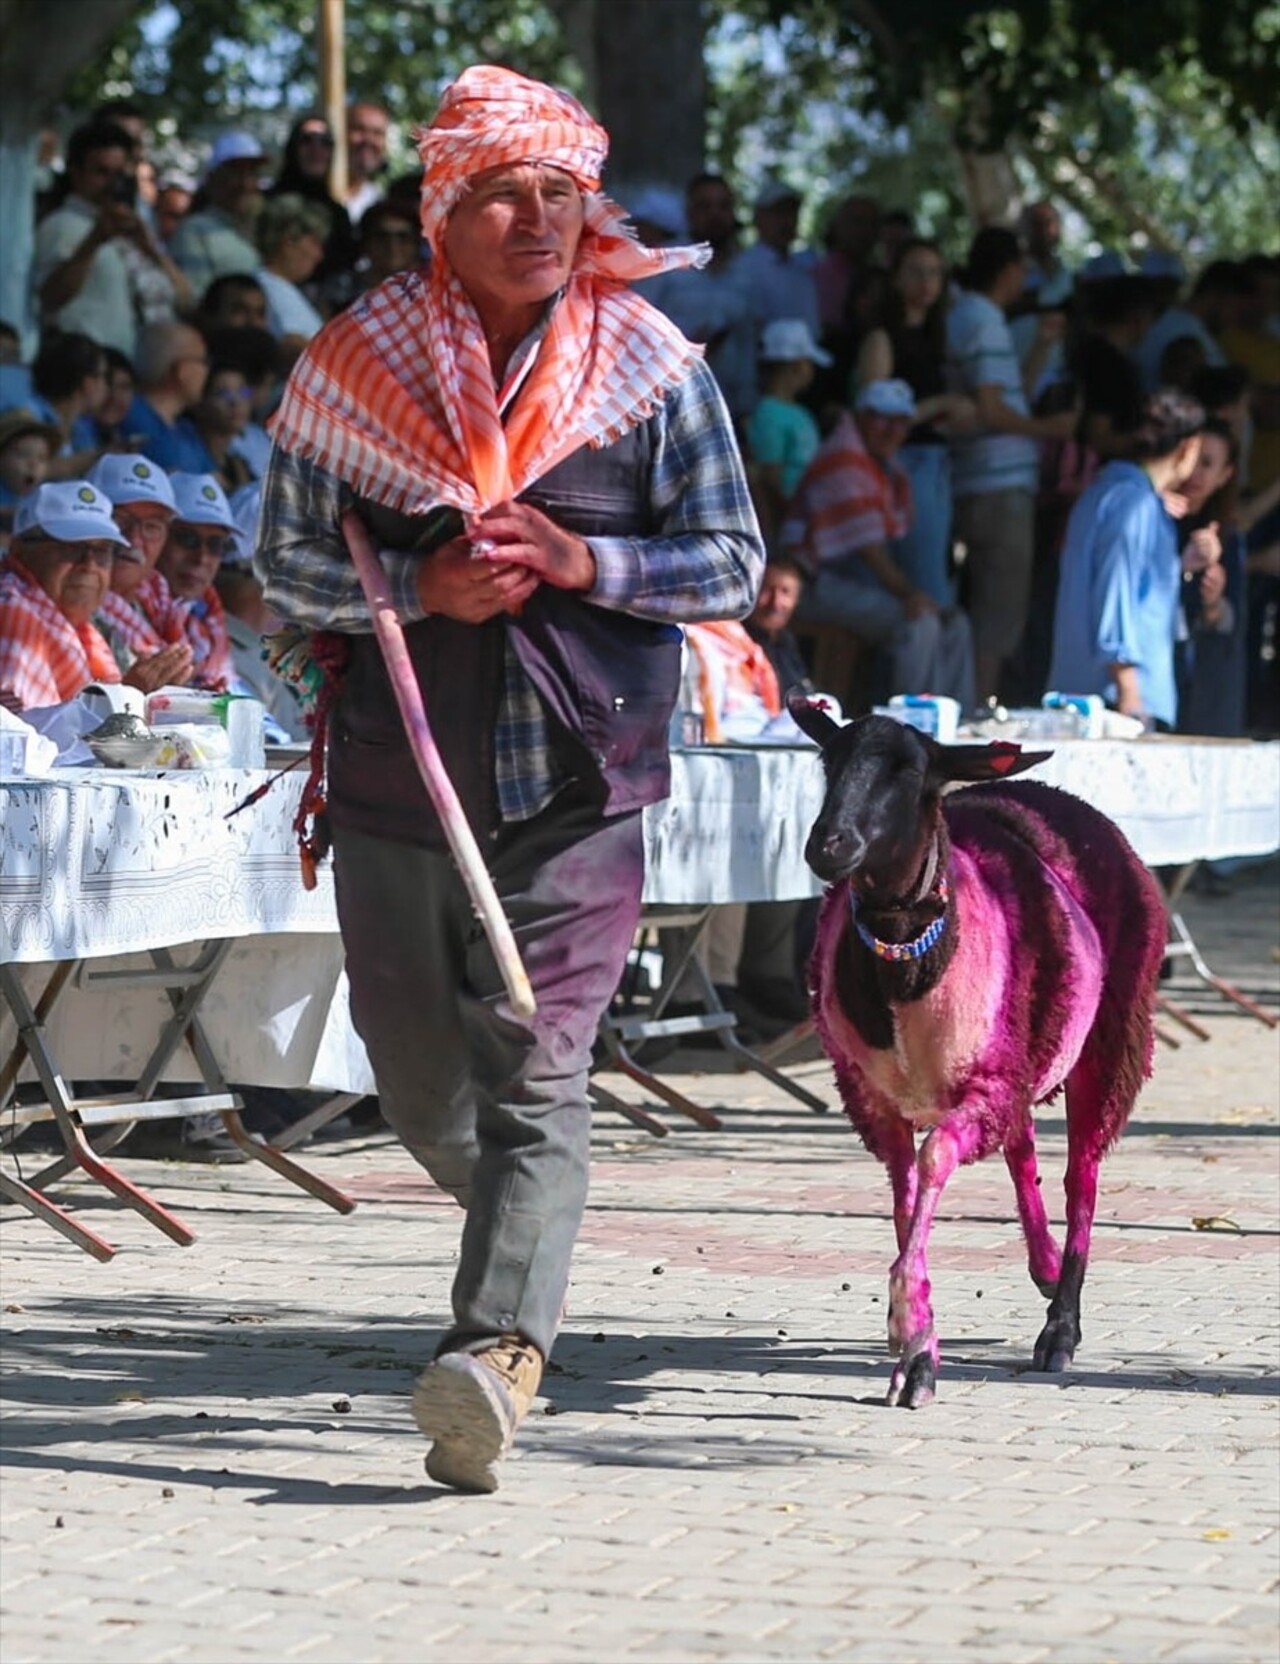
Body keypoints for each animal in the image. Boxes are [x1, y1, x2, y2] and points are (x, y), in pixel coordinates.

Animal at [788, 698, 1171, 1404]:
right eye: (829, 760)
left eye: (910, 770)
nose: (828, 846)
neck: (905, 958)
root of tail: (1048, 793)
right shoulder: (873, 1097)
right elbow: (907, 1193)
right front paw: (916, 1340)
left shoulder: (984, 1085)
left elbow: (935, 1161)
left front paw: (910, 1341)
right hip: (1023, 1051)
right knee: (1023, 1147)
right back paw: (1044, 1266)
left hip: (1110, 1040)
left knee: (1081, 1176)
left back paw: (1060, 1325)